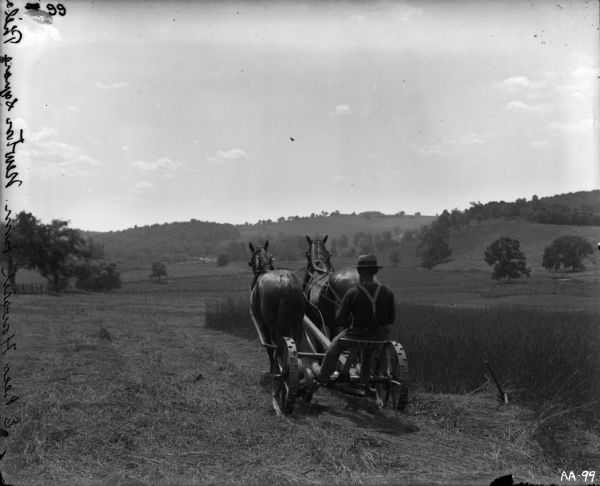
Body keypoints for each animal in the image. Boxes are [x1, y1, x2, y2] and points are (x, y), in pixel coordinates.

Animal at [248, 241, 304, 370]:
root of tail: (284, 281)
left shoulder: (263, 323)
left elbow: (269, 344)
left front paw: (272, 366)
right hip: (297, 320)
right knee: (296, 343)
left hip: (273, 322)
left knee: (278, 342)